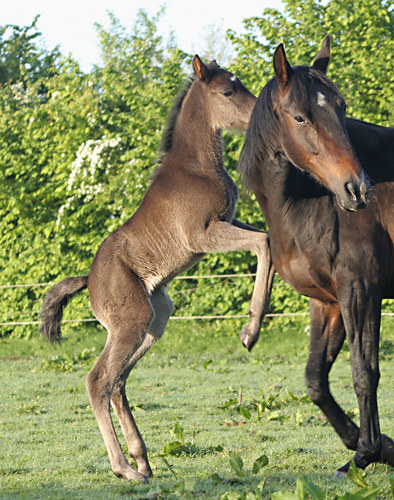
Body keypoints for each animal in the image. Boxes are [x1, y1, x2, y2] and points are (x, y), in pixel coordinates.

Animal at [39, 56, 274, 482]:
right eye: (228, 91)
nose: (260, 117)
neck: (197, 165)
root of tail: (90, 280)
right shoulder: (203, 235)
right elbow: (263, 242)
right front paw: (250, 330)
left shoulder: (230, 221)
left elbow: (268, 238)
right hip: (132, 318)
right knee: (98, 380)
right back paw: (124, 469)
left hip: (156, 317)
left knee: (118, 381)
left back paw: (142, 461)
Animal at [240, 35, 394, 472]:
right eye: (300, 118)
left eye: (341, 109)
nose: (356, 189)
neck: (306, 201)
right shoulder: (328, 302)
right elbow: (315, 380)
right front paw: (372, 444)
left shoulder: (361, 292)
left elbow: (364, 371)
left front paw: (366, 452)